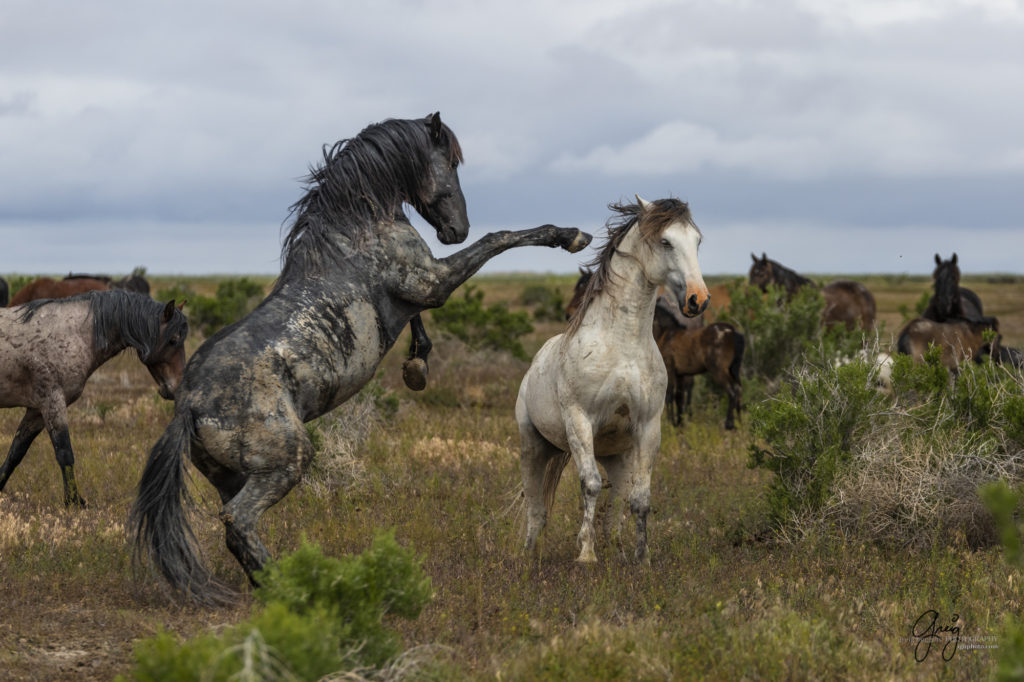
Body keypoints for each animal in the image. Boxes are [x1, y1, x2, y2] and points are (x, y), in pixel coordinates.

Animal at [0, 290, 188, 503]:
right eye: (173, 340)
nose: (177, 388)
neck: (70, 335)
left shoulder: (36, 411)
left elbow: (16, 452)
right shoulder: (52, 403)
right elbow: (64, 452)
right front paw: (74, 502)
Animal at [130, 111, 593, 602]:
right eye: (450, 162)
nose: (456, 230)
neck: (357, 232)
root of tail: (189, 405)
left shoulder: (419, 291)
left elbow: (419, 320)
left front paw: (417, 365)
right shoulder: (432, 281)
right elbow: (500, 238)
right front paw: (572, 236)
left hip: (233, 476)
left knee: (235, 526)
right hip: (288, 460)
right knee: (238, 520)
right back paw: (289, 587)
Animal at [516, 196, 708, 561]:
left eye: (697, 241)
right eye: (666, 241)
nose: (698, 300)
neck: (622, 345)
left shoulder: (648, 427)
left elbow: (641, 499)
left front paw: (641, 559)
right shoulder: (580, 421)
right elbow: (590, 485)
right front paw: (586, 555)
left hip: (617, 457)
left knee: (616, 503)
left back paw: (615, 549)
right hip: (534, 447)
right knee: (535, 507)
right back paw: (529, 555)